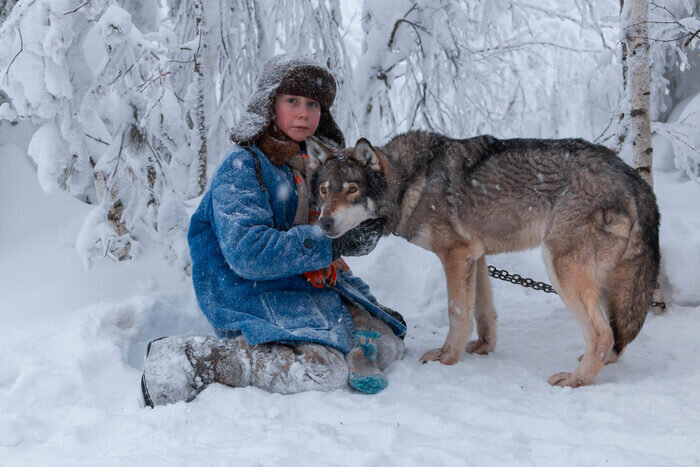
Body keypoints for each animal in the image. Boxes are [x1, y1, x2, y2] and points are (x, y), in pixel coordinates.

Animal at [304, 131, 660, 388]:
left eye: (352, 189)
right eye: (324, 191)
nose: (324, 224)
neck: (411, 183)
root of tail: (633, 178)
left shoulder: (455, 255)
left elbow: (458, 312)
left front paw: (447, 358)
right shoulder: (477, 256)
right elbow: (484, 312)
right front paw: (482, 347)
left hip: (561, 269)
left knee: (603, 334)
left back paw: (575, 380)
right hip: (605, 283)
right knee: (614, 336)